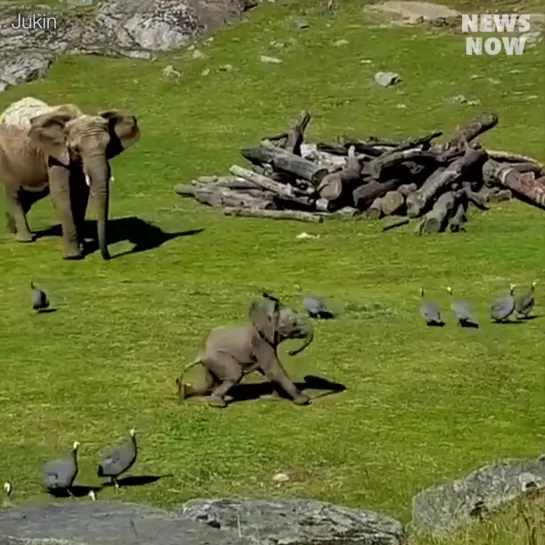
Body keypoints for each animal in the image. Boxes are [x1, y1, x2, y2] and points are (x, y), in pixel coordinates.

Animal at [0, 97, 140, 260]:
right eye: (77, 148)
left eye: (108, 146)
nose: (108, 256)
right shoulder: (54, 155)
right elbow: (62, 194)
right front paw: (73, 256)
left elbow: (80, 196)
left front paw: (83, 247)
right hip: (6, 158)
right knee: (15, 193)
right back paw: (25, 238)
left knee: (30, 194)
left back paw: (12, 228)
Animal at [177, 294, 314, 408]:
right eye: (294, 324)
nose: (291, 352)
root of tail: (200, 354)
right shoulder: (260, 342)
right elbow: (273, 369)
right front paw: (304, 400)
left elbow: (267, 370)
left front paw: (277, 396)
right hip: (219, 358)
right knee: (235, 374)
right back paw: (217, 404)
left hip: (211, 363)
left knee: (211, 382)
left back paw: (185, 392)